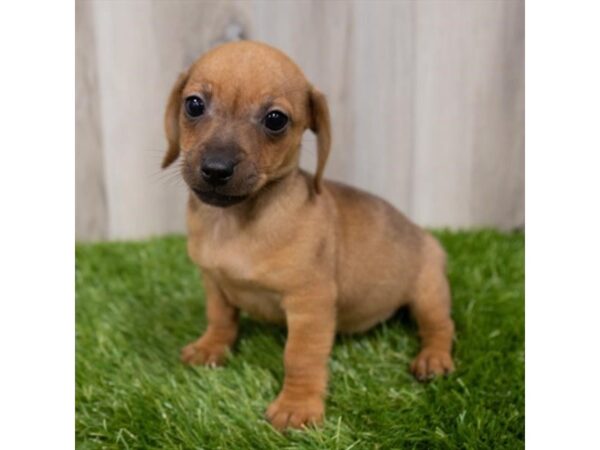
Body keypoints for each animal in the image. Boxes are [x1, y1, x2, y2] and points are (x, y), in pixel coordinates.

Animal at [162, 40, 452, 430]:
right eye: (193, 105)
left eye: (275, 120)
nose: (216, 169)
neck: (236, 223)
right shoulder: (214, 283)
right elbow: (220, 318)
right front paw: (211, 348)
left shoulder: (309, 305)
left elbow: (299, 357)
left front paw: (296, 405)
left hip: (428, 292)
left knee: (440, 326)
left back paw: (433, 358)